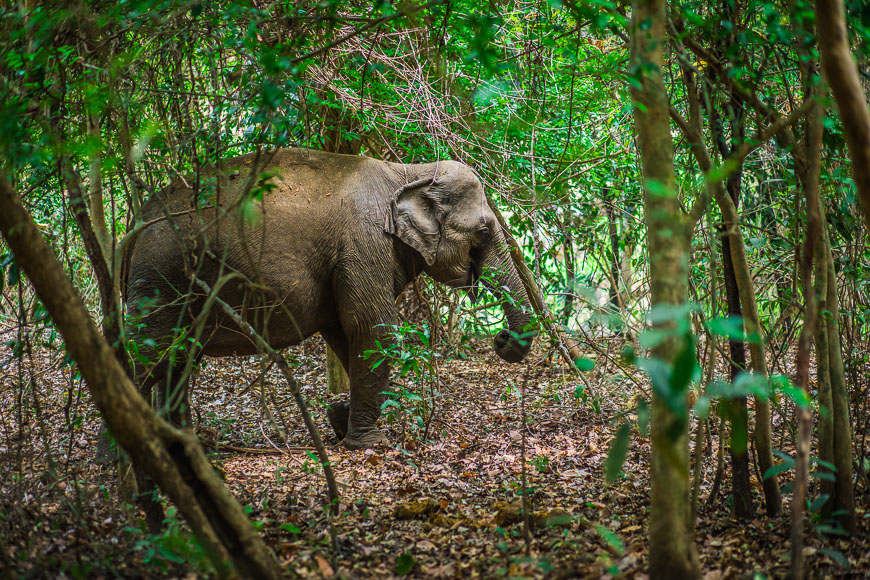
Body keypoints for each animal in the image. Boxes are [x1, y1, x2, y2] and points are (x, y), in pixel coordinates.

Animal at [125, 147, 536, 450]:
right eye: (484, 232)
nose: (500, 337)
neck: (409, 172)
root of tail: (133, 226)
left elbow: (345, 333)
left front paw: (339, 416)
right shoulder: (363, 243)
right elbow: (374, 329)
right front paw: (368, 442)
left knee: (176, 359)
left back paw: (185, 447)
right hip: (160, 278)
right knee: (149, 355)